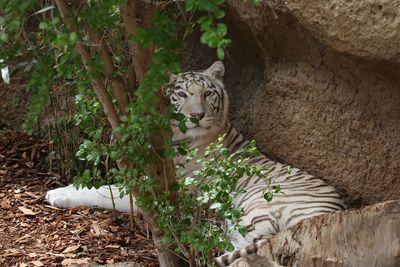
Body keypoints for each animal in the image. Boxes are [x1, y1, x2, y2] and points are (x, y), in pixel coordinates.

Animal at [47, 61, 346, 267]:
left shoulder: (167, 191)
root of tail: (335, 211)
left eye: (207, 94)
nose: (197, 115)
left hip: (258, 205)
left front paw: (57, 193)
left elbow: (107, 190)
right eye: (181, 95)